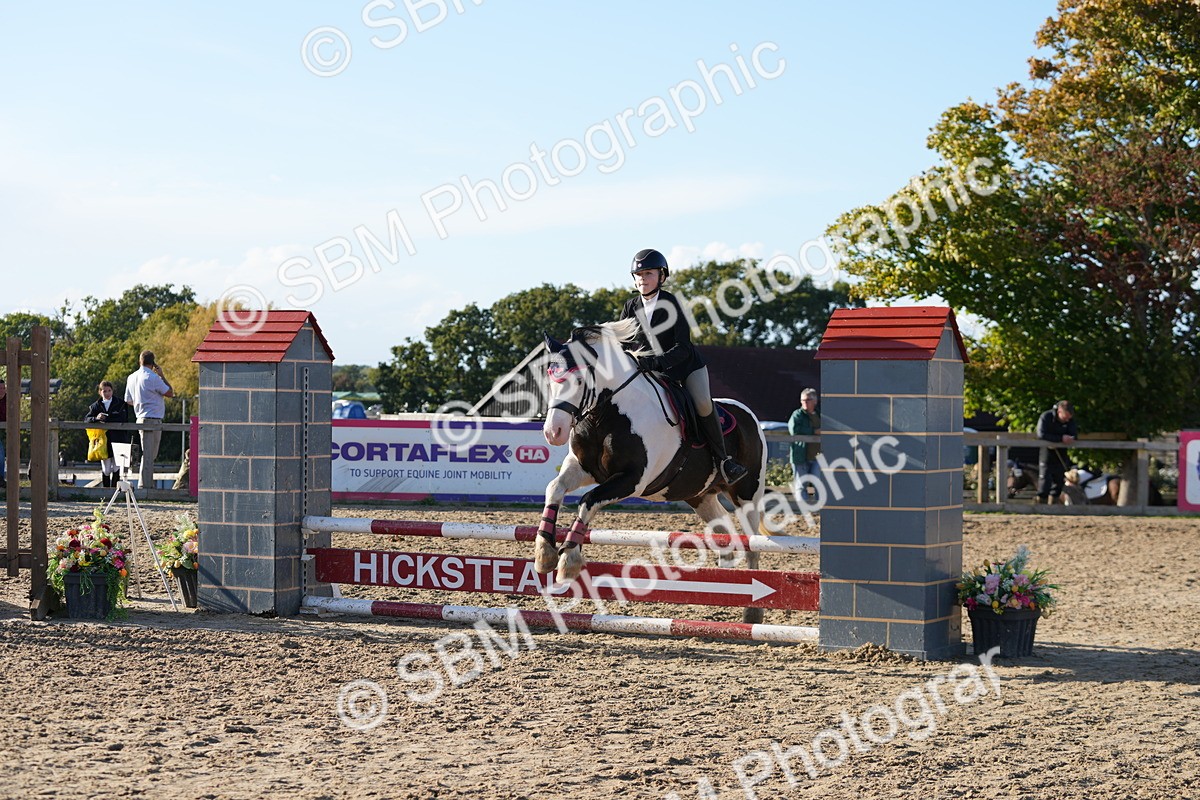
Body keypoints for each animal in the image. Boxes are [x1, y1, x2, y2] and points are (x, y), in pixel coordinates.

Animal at [536, 320, 768, 621]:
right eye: (550, 380)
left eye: (578, 381)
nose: (553, 432)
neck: (606, 414)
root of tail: (748, 415)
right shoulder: (583, 469)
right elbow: (555, 488)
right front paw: (544, 554)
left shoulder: (631, 480)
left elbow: (588, 500)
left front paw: (568, 560)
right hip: (700, 496)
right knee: (724, 535)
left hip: (746, 493)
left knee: (752, 544)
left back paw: (752, 613)